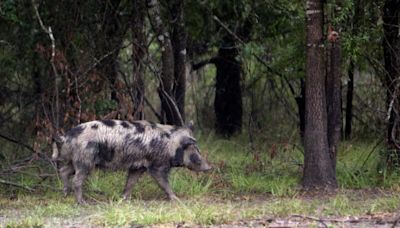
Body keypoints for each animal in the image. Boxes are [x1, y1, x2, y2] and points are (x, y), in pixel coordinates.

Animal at [52, 120, 212, 204]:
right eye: (195, 152)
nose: (209, 168)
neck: (171, 144)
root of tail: (66, 137)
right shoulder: (156, 165)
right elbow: (164, 183)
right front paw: (176, 199)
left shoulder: (138, 166)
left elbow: (131, 182)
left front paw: (124, 199)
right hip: (84, 161)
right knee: (76, 180)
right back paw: (83, 202)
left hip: (75, 160)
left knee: (63, 171)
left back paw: (65, 194)